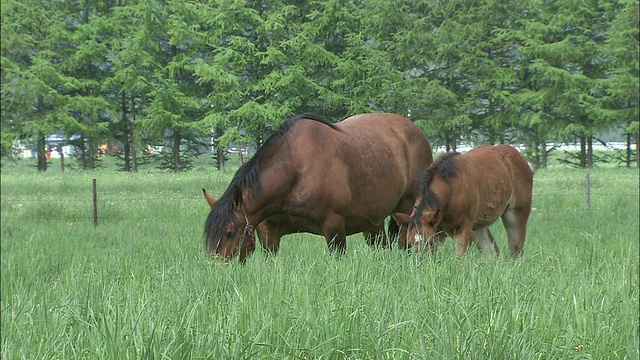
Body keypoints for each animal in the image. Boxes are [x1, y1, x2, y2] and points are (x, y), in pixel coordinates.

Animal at [204, 111, 436, 260]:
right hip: (373, 222)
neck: (294, 171)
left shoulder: (334, 227)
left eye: (230, 232)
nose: (216, 266)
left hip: (406, 209)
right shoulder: (268, 232)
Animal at [392, 145, 532, 260]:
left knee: (516, 251)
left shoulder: (462, 229)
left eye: (429, 242)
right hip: (478, 226)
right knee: (491, 251)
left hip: (515, 215)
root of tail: (521, 158)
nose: (421, 261)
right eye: (410, 242)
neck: (451, 187)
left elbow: (459, 258)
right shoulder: (438, 232)